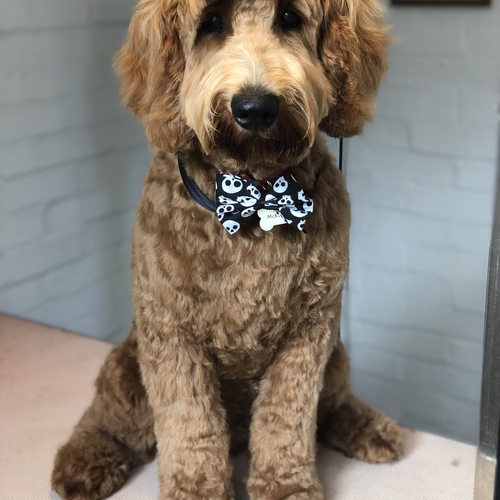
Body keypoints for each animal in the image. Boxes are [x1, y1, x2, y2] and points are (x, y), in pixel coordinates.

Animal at [51, 0, 402, 498]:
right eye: (211, 24)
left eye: (291, 18)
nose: (255, 108)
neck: (255, 198)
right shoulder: (172, 333)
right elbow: (190, 426)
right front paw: (198, 489)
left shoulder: (310, 332)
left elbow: (287, 419)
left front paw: (286, 485)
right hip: (127, 367)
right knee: (110, 417)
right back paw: (85, 457)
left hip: (336, 356)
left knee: (331, 403)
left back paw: (369, 427)